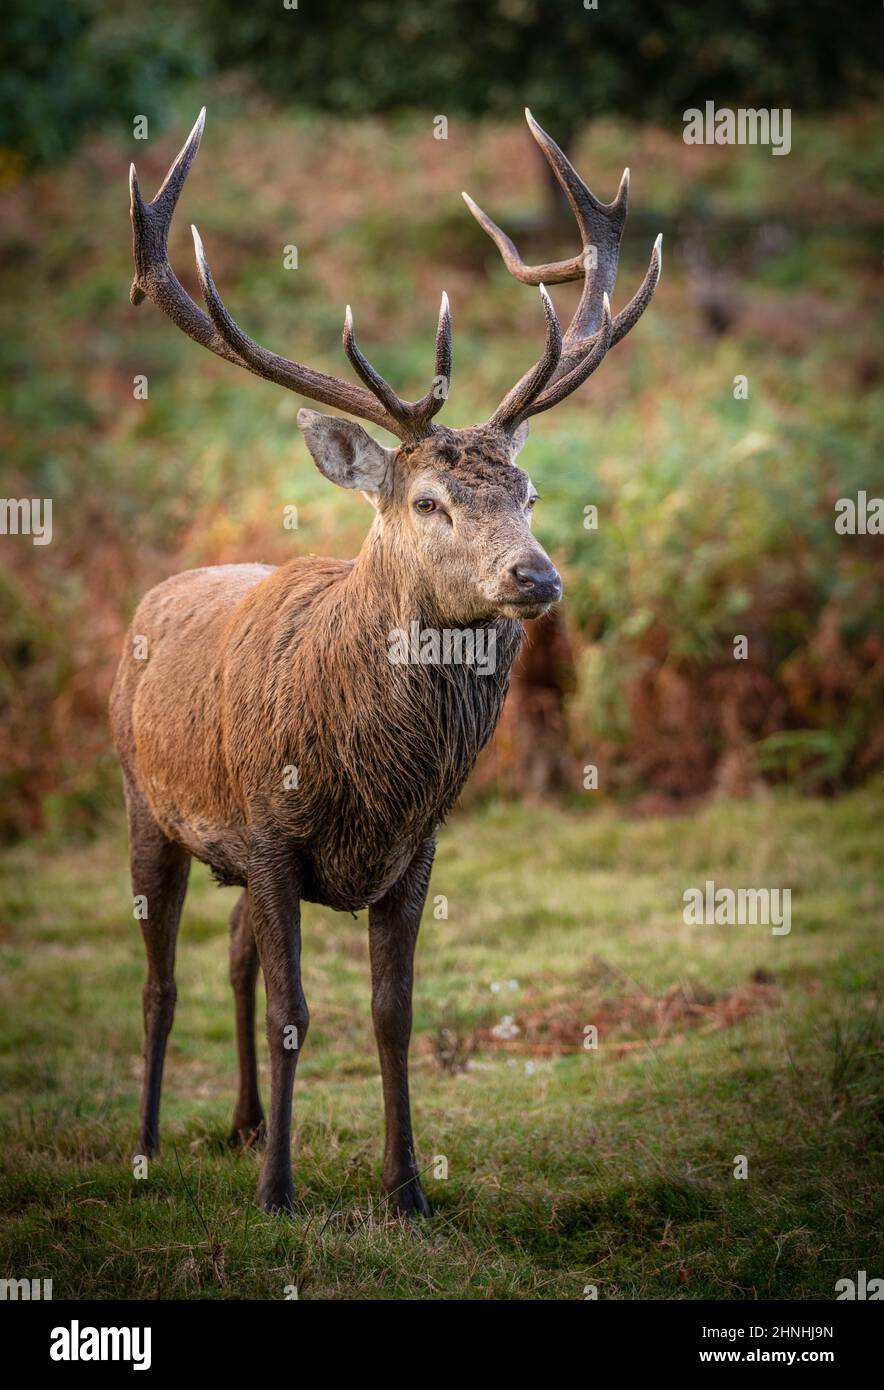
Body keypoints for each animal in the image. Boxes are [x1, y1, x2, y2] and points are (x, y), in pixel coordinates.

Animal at [110, 107, 661, 1216]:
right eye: (428, 501)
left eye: (530, 492)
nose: (535, 574)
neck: (372, 779)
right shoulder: (268, 831)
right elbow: (296, 1011)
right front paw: (279, 1196)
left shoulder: (415, 851)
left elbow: (390, 1014)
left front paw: (405, 1187)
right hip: (146, 799)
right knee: (162, 982)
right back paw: (148, 1145)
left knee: (233, 959)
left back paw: (244, 1124)